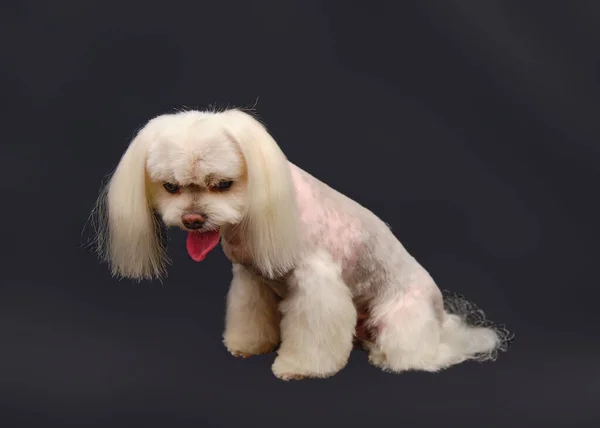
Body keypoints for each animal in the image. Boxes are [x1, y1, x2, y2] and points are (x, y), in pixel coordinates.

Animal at [91, 108, 512, 382]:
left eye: (223, 184)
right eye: (171, 187)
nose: (193, 219)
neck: (256, 210)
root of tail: (442, 321)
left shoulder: (316, 284)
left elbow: (314, 328)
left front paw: (299, 367)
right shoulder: (251, 280)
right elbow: (249, 314)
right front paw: (247, 345)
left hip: (399, 319)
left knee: (425, 355)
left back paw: (388, 356)